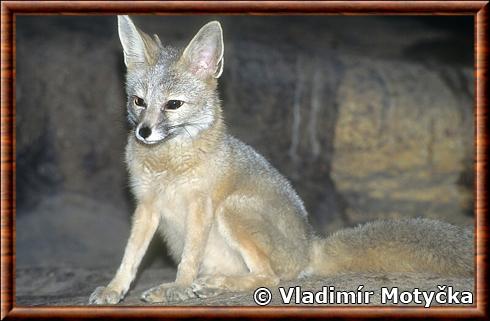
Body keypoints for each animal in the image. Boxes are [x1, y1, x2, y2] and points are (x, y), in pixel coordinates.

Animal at [89, 15, 474, 304]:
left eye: (173, 105)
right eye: (139, 101)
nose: (144, 132)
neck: (168, 165)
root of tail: (310, 246)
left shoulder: (201, 205)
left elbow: (189, 258)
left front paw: (179, 287)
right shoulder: (146, 206)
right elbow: (130, 256)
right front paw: (114, 290)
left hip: (232, 208)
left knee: (271, 278)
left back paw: (214, 284)